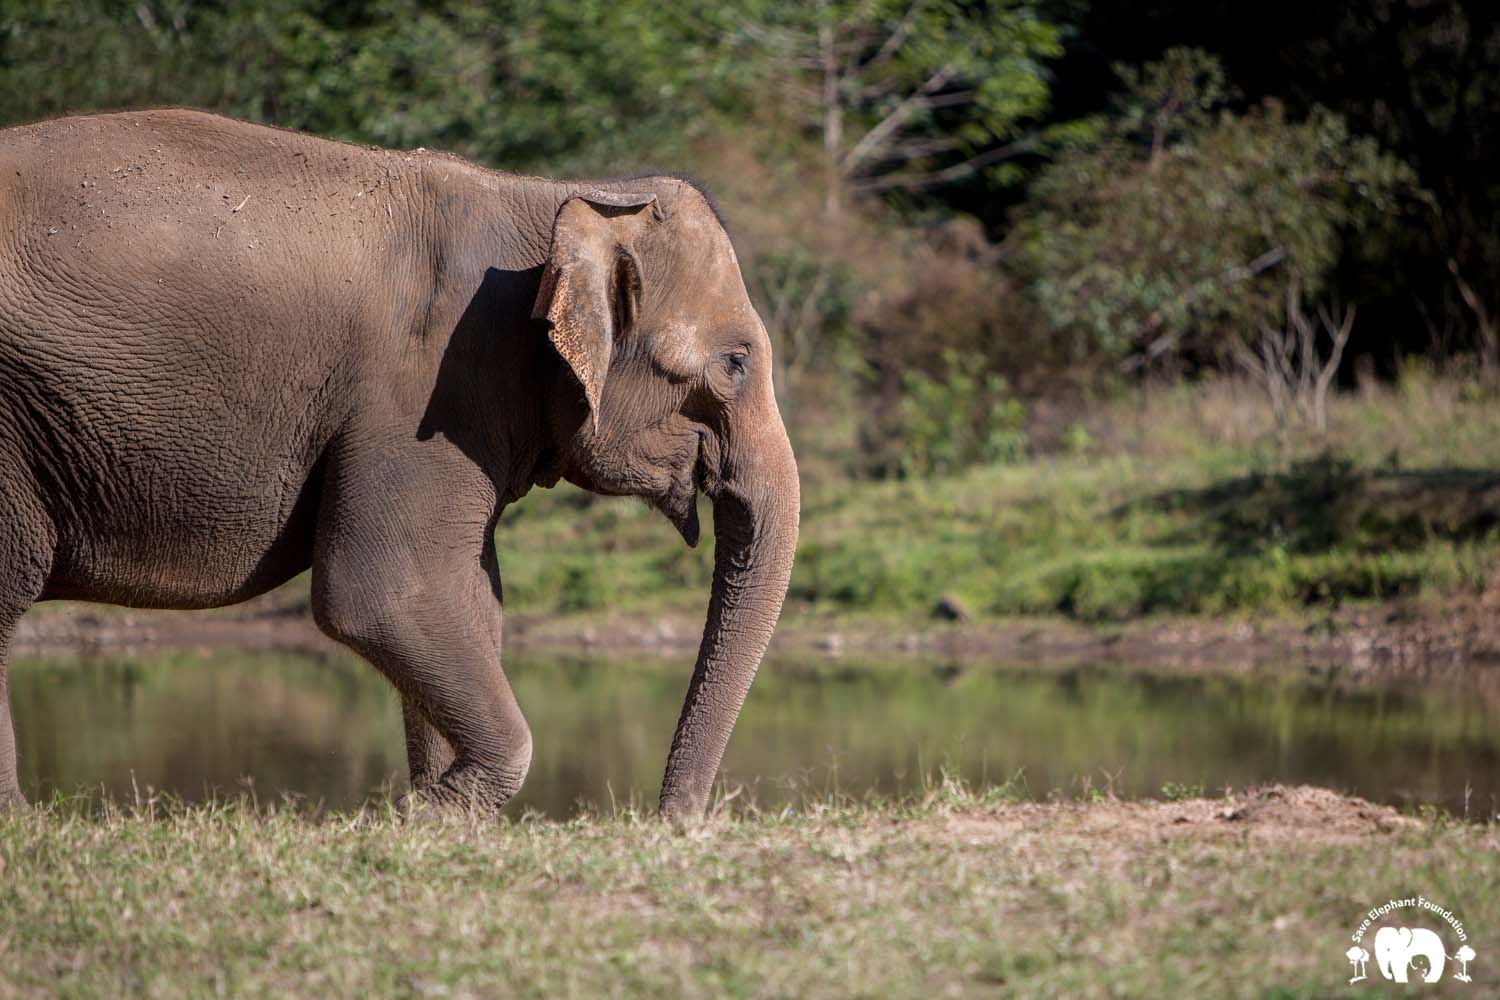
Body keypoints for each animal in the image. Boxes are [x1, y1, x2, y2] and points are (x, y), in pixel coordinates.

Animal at [0, 109, 798, 818]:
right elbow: (385, 591)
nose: (675, 817)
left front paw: (435, 806)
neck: (559, 198)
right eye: (736, 362)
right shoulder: (424, 387)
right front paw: (425, 813)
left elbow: (467, 598)